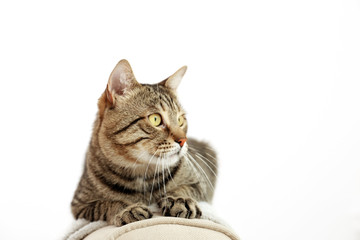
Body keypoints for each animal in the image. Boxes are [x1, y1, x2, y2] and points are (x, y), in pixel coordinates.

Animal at [70, 59, 217, 226]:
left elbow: (184, 189)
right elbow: (106, 204)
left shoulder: (200, 184)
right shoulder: (80, 205)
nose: (183, 140)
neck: (142, 173)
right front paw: (127, 209)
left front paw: (180, 199)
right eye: (155, 119)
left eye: (180, 120)